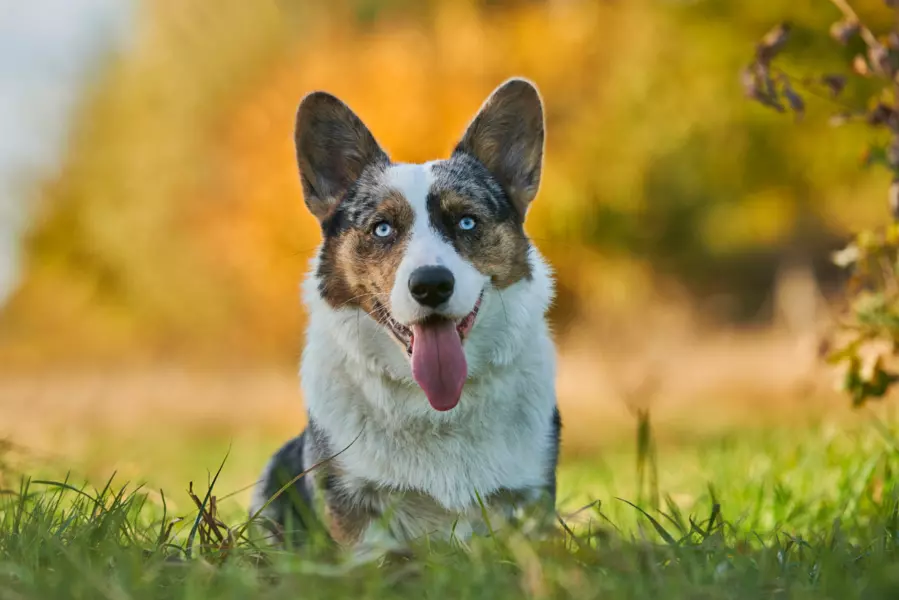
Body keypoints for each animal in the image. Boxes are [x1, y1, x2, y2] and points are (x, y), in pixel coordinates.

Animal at [251, 77, 564, 552]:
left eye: (467, 222)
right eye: (382, 228)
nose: (431, 284)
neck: (436, 406)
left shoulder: (527, 502)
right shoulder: (355, 515)